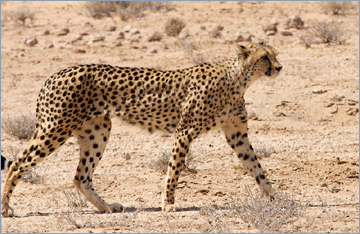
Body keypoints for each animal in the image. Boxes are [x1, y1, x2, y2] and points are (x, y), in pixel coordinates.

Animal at [1, 41, 282, 217]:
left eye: (275, 54)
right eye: (264, 57)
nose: (279, 67)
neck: (239, 80)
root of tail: (56, 74)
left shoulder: (237, 135)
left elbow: (257, 168)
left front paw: (275, 197)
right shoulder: (185, 132)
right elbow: (174, 169)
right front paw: (168, 205)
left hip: (98, 131)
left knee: (81, 176)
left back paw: (106, 208)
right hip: (56, 129)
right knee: (17, 163)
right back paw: (6, 208)